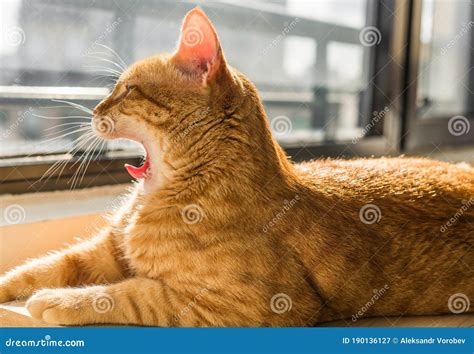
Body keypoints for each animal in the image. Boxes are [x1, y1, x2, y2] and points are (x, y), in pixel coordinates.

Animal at [0, 6, 472, 326]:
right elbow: (44, 266)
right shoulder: (104, 251)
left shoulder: (244, 306)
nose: (95, 109)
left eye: (128, 89)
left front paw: (61, 301)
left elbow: (132, 293)